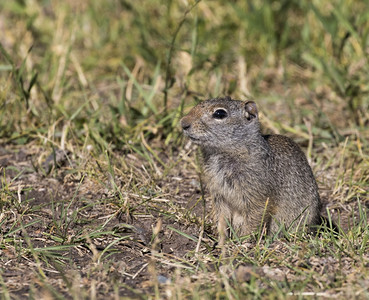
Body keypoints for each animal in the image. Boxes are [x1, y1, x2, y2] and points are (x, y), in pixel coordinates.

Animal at [181, 97, 322, 236]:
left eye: (220, 113)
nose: (183, 123)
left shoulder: (257, 195)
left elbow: (254, 218)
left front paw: (244, 239)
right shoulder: (218, 194)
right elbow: (221, 216)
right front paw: (220, 235)